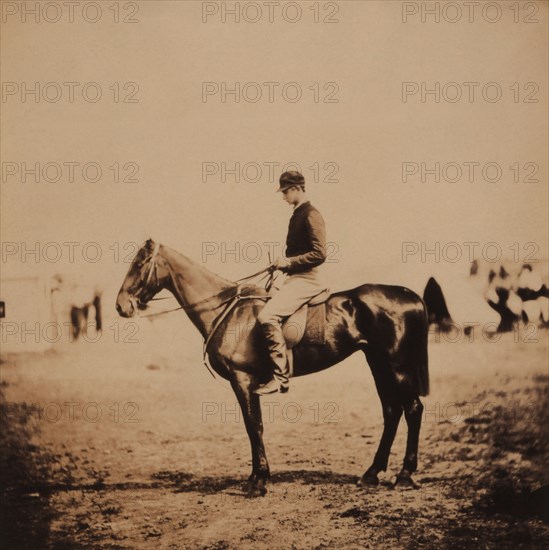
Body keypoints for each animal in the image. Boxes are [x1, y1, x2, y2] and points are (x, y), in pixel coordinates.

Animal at [115, 240, 430, 496]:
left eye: (140, 263)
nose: (121, 306)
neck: (227, 311)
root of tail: (410, 295)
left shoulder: (243, 381)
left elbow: (253, 425)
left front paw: (259, 482)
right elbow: (254, 426)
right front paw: (255, 477)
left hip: (396, 365)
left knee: (413, 409)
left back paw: (404, 475)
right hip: (377, 363)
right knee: (391, 411)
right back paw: (372, 473)